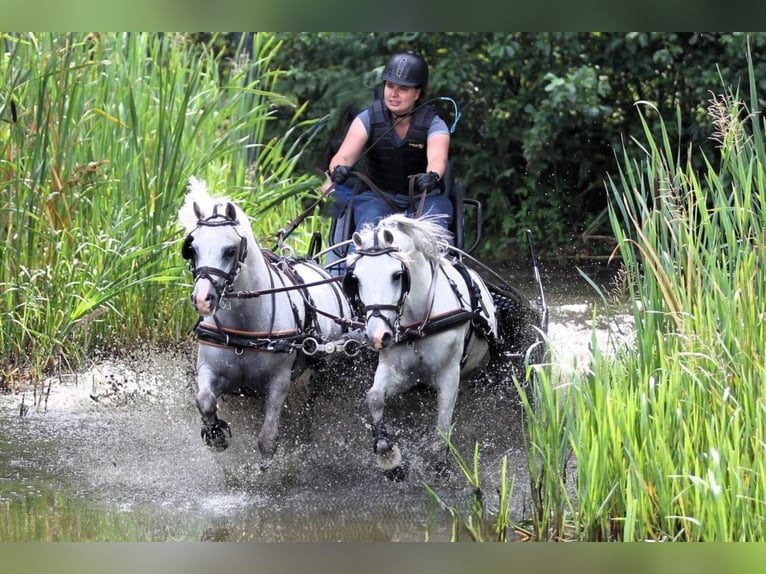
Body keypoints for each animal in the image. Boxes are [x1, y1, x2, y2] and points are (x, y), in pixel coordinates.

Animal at [178, 176, 356, 469]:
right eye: (192, 248)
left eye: (230, 250)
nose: (202, 299)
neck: (245, 327)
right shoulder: (209, 369)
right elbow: (204, 400)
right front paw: (216, 434)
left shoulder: (279, 381)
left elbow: (267, 438)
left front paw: (266, 469)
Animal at [342, 213, 498, 478]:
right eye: (356, 279)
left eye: (397, 275)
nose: (377, 335)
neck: (418, 322)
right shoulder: (400, 373)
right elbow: (374, 397)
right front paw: (388, 456)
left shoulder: (449, 374)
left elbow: (443, 420)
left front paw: (440, 462)